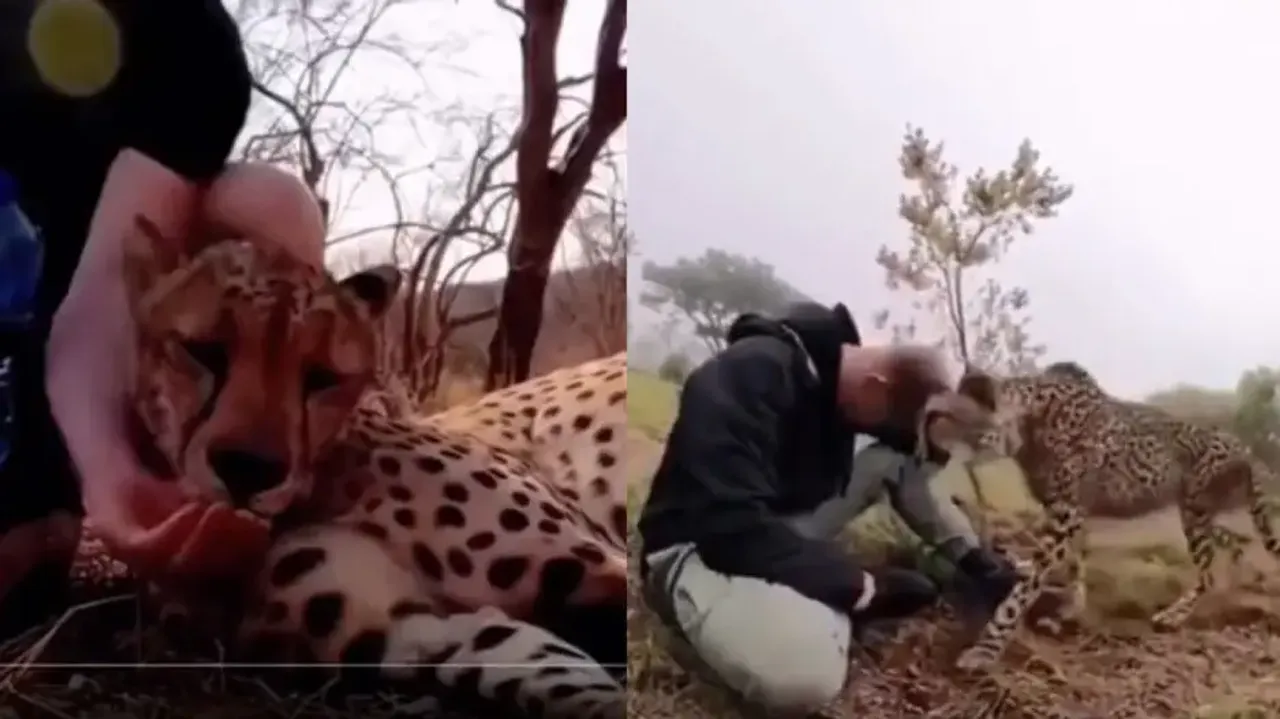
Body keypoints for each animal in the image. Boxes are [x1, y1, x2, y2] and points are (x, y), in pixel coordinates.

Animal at [105, 216, 628, 718]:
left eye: (323, 377)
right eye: (203, 351)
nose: (248, 469)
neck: (325, 487)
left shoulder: (602, 562)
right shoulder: (420, 629)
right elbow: (564, 681)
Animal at [920, 368, 1280, 672]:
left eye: (950, 415)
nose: (929, 443)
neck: (1031, 423)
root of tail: (1245, 448)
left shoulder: (1067, 512)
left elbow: (1025, 587)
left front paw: (986, 649)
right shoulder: (1067, 511)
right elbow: (1073, 560)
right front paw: (1070, 605)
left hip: (1194, 511)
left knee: (1211, 570)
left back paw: (1175, 615)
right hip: (1202, 512)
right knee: (1233, 546)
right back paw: (1234, 585)